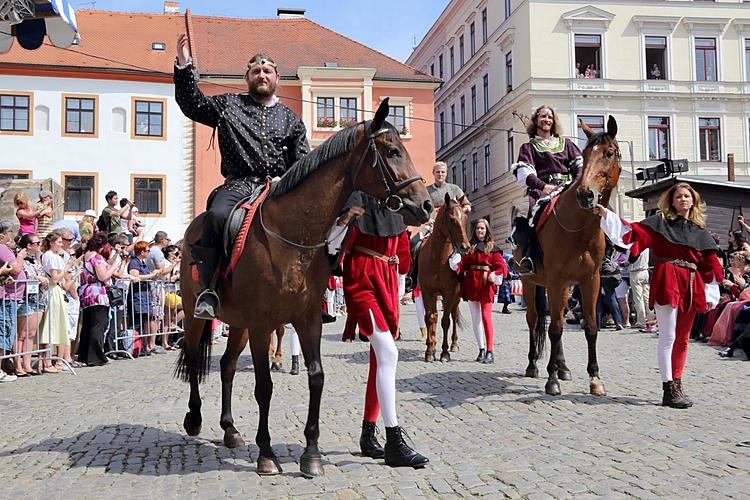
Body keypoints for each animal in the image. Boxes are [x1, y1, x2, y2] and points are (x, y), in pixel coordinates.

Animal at [176, 99, 432, 478]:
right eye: (391, 151)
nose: (426, 204)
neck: (292, 234)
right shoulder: (263, 323)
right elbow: (264, 386)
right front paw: (266, 453)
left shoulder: (306, 318)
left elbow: (316, 377)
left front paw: (311, 455)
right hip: (200, 317)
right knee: (195, 359)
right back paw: (194, 418)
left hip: (238, 323)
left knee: (226, 366)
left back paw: (230, 429)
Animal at [418, 193, 470, 362]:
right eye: (452, 219)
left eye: (465, 218)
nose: (465, 247)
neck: (437, 259)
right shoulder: (427, 292)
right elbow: (430, 318)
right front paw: (430, 350)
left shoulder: (449, 292)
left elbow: (446, 321)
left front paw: (445, 352)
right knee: (433, 317)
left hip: (456, 297)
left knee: (453, 316)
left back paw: (453, 344)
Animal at [516, 115, 624, 396]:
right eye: (585, 155)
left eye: (608, 153)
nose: (585, 194)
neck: (580, 230)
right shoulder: (554, 280)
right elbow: (553, 329)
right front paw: (551, 380)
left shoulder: (590, 280)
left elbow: (591, 327)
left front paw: (594, 378)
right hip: (531, 283)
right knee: (535, 321)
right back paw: (534, 365)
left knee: (558, 320)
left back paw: (562, 367)